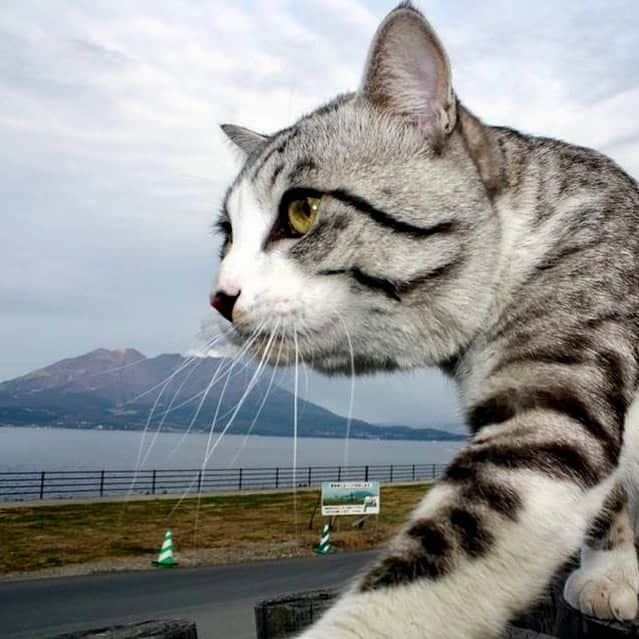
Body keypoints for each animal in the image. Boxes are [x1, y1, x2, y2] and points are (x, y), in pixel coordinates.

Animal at [210, 2, 639, 636]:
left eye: (302, 210)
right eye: (227, 236)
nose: (220, 296)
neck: (519, 244)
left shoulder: (561, 383)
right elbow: (610, 499)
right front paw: (613, 570)